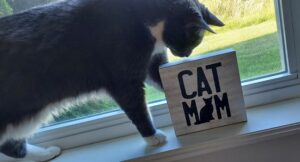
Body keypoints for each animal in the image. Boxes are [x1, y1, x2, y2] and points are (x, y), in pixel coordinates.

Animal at [0, 0, 223, 160]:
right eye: (194, 39)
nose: (185, 55)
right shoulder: (123, 78)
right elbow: (137, 107)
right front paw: (152, 136)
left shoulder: (152, 63)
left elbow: (161, 78)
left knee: (10, 145)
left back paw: (45, 153)